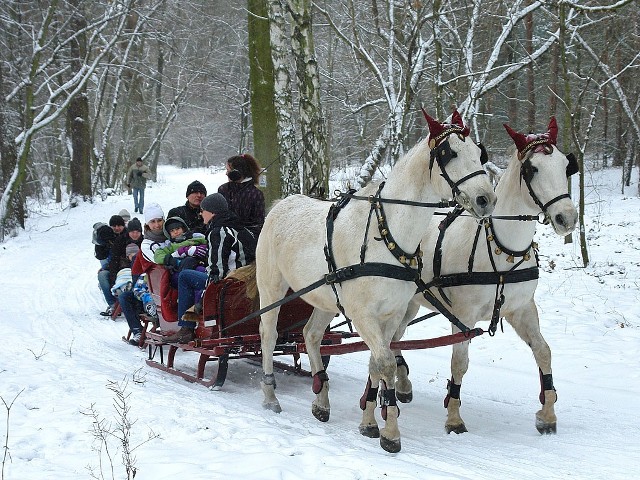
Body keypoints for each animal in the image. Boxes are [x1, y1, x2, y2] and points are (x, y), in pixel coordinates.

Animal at [258, 110, 498, 452]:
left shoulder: (391, 314)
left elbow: (375, 362)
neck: (386, 234)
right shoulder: (363, 314)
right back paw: (270, 395)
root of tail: (281, 204)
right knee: (268, 334)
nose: (485, 199)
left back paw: (321, 400)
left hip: (326, 297)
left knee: (311, 334)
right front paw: (390, 431)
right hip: (272, 287)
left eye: (480, 154)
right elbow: (385, 363)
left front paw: (370, 422)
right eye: (448, 153)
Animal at [384, 117, 580, 438]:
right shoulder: (462, 315)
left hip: (410, 303)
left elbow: (543, 352)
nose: (567, 218)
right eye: (532, 169)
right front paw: (453, 416)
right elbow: (459, 363)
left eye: (566, 166)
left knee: (396, 338)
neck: (502, 251)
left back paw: (402, 382)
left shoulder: (522, 309)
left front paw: (547, 414)